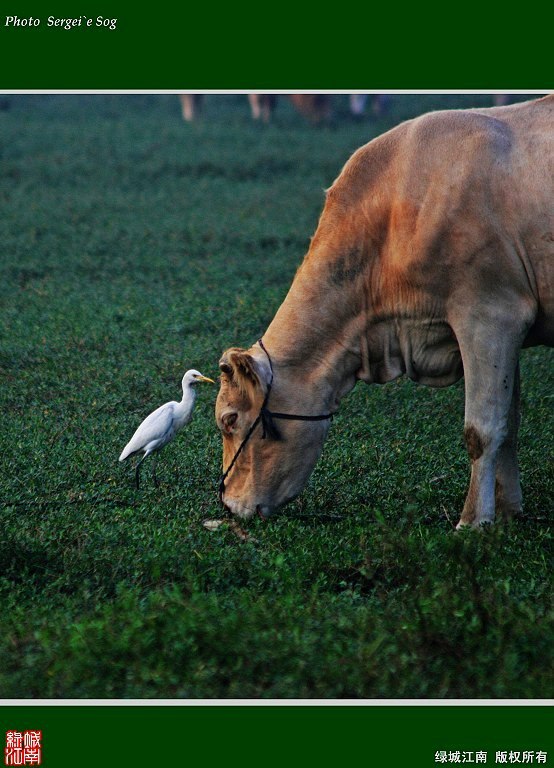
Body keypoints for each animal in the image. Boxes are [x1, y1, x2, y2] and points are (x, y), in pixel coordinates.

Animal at [216, 96, 552, 528]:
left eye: (230, 419)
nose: (227, 503)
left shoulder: (490, 316)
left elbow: (483, 430)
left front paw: (473, 521)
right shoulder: (507, 331)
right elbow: (509, 425)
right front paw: (507, 512)